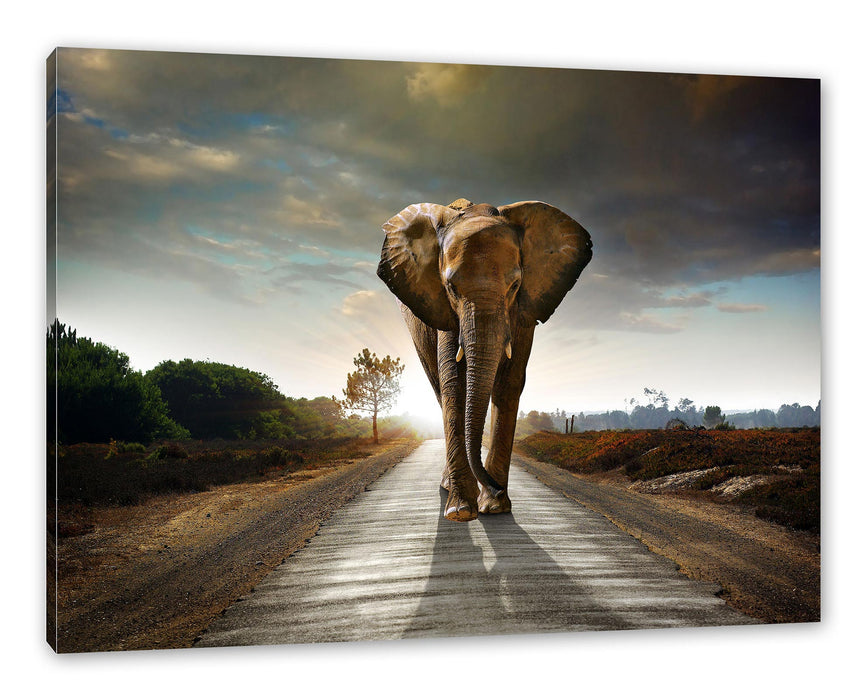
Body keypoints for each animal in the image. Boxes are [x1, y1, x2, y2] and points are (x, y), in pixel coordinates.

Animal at [377, 198, 592, 522]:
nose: (494, 487)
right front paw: (461, 511)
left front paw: (495, 507)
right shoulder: (443, 308)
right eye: (451, 288)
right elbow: (454, 382)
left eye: (515, 285)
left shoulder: (524, 310)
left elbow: (509, 383)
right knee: (439, 389)